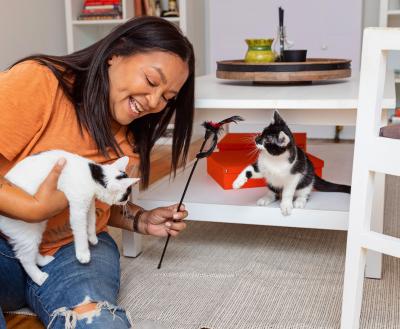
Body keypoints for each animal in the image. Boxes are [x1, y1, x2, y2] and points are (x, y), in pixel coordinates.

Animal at [0, 150, 139, 286]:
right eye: (126, 195)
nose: (127, 200)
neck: (93, 175)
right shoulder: (78, 210)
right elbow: (81, 233)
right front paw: (83, 254)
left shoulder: (88, 203)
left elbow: (91, 220)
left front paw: (92, 237)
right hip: (27, 231)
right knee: (24, 258)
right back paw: (39, 277)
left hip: (36, 227)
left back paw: (44, 261)